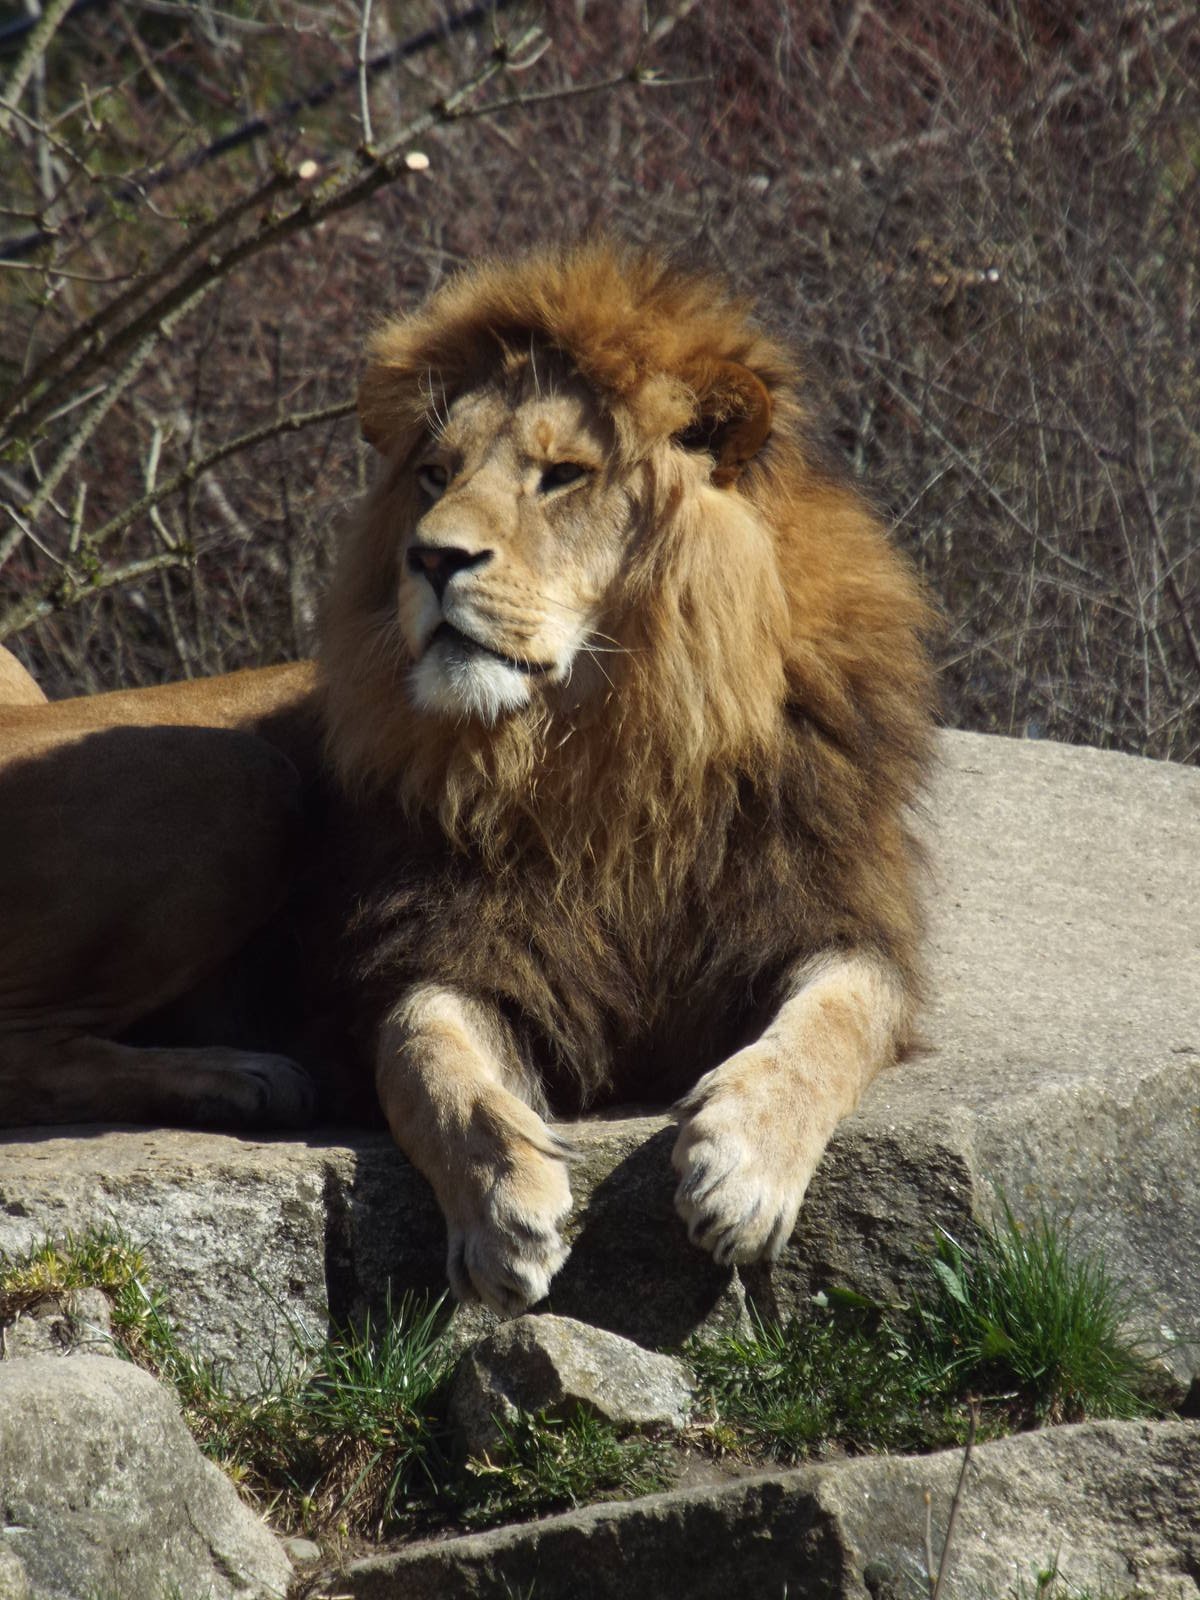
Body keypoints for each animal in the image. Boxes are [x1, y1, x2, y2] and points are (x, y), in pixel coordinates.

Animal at [0, 242, 935, 1316]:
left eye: (563, 476)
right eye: (436, 474)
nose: (432, 556)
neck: (605, 750)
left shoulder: (831, 917)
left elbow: (833, 1024)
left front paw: (740, 1166)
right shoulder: (441, 942)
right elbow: (427, 1057)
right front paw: (503, 1201)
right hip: (239, 776)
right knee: (18, 1054)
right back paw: (243, 1077)